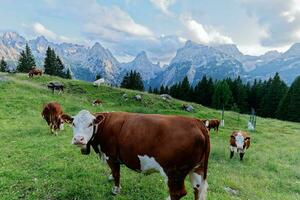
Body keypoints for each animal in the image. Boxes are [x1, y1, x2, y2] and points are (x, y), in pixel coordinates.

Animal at [62, 111, 210, 200]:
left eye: (90, 124)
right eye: (73, 123)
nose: (78, 139)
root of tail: (197, 122)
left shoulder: (111, 156)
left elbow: (116, 173)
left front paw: (116, 190)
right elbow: (113, 173)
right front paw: (110, 178)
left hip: (174, 172)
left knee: (177, 193)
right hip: (197, 169)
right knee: (197, 189)